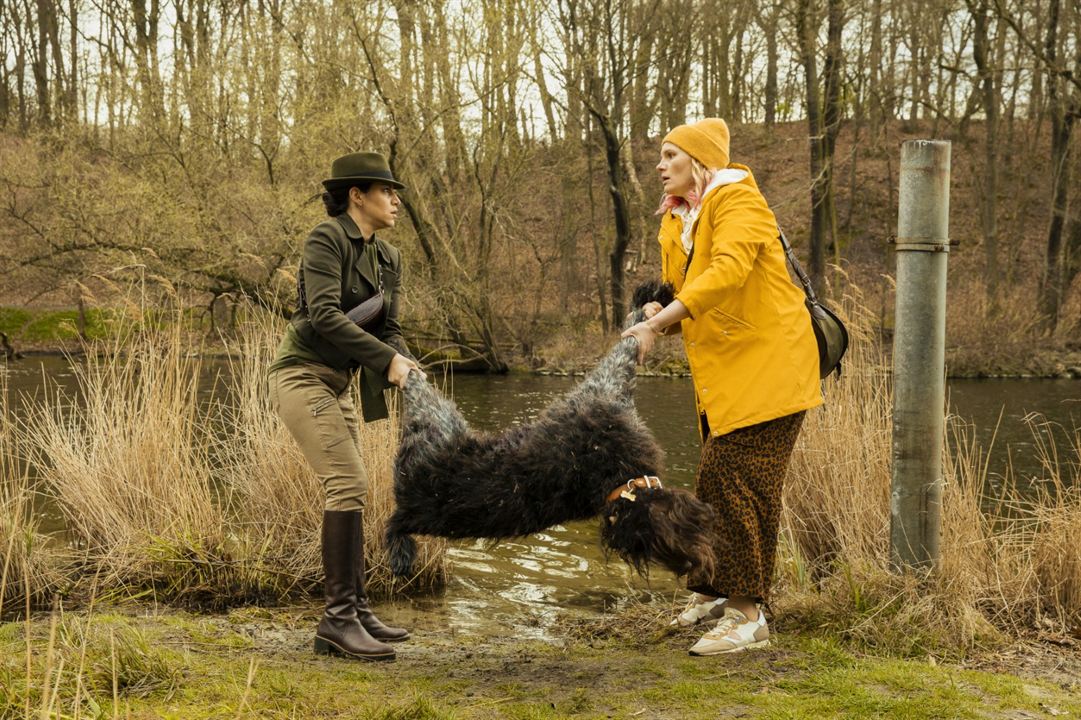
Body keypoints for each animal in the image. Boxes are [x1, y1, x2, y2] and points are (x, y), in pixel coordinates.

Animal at [389, 281, 717, 583]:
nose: (693, 566)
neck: (617, 477)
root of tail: (407, 507)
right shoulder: (605, 391)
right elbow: (625, 346)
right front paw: (648, 301)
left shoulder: (606, 392)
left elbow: (626, 344)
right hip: (433, 419)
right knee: (414, 380)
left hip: (434, 423)